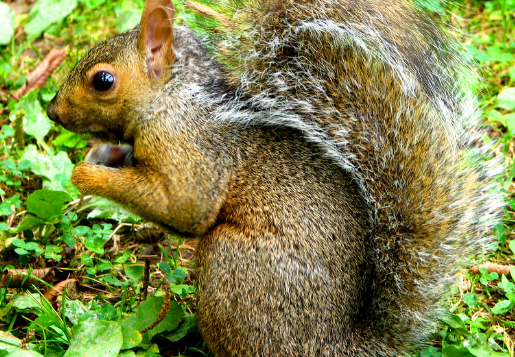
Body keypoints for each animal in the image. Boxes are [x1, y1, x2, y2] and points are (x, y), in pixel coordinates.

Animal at [46, 0, 506, 354]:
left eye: (103, 80)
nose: (52, 111)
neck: (173, 99)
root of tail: (338, 346)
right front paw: (102, 154)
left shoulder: (191, 151)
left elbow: (184, 208)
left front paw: (85, 174)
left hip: (232, 264)